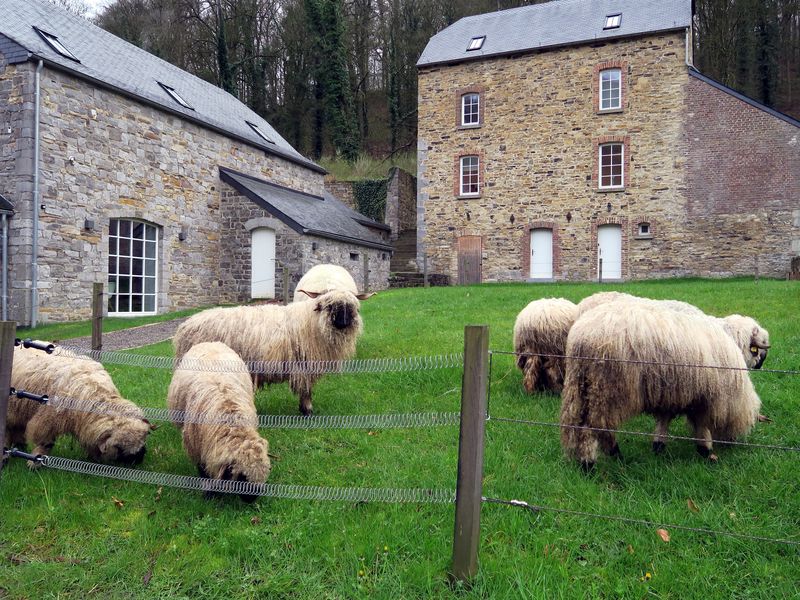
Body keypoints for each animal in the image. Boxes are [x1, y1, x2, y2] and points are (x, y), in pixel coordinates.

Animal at [6, 344, 153, 466]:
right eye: (120, 447)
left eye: (144, 439)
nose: (139, 461)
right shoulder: (47, 420)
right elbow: (45, 442)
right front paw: (35, 462)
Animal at [167, 342, 270, 502]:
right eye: (242, 476)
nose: (251, 500)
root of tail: (209, 342)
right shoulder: (198, 445)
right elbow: (203, 469)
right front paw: (210, 493)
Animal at [175, 288, 366, 414]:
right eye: (330, 306)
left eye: (350, 307)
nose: (343, 322)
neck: (311, 322)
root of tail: (186, 326)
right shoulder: (303, 366)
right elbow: (306, 390)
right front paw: (307, 410)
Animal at [560, 302, 760, 472]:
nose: (732, 443)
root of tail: (583, 337)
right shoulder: (704, 397)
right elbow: (701, 424)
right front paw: (705, 450)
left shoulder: (671, 394)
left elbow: (664, 420)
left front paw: (658, 446)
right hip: (606, 389)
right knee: (593, 427)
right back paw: (589, 464)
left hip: (580, 387)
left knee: (585, 425)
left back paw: (613, 455)